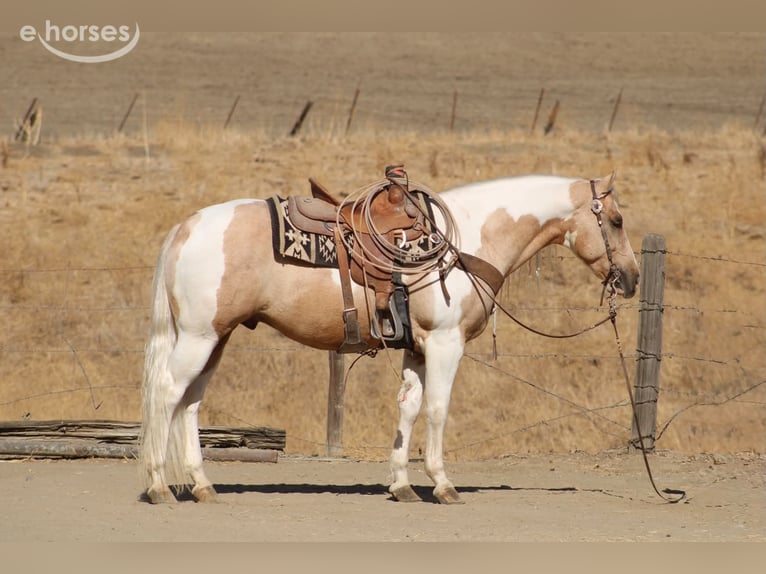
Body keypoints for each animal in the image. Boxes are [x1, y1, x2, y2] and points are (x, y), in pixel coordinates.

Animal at [140, 171, 639, 505]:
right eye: (616, 220)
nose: (632, 279)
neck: (466, 241)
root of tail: (187, 226)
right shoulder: (445, 343)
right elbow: (437, 409)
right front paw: (443, 484)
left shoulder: (417, 348)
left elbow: (409, 409)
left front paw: (402, 485)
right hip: (199, 337)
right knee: (167, 393)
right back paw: (159, 485)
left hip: (215, 339)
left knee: (190, 403)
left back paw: (203, 486)